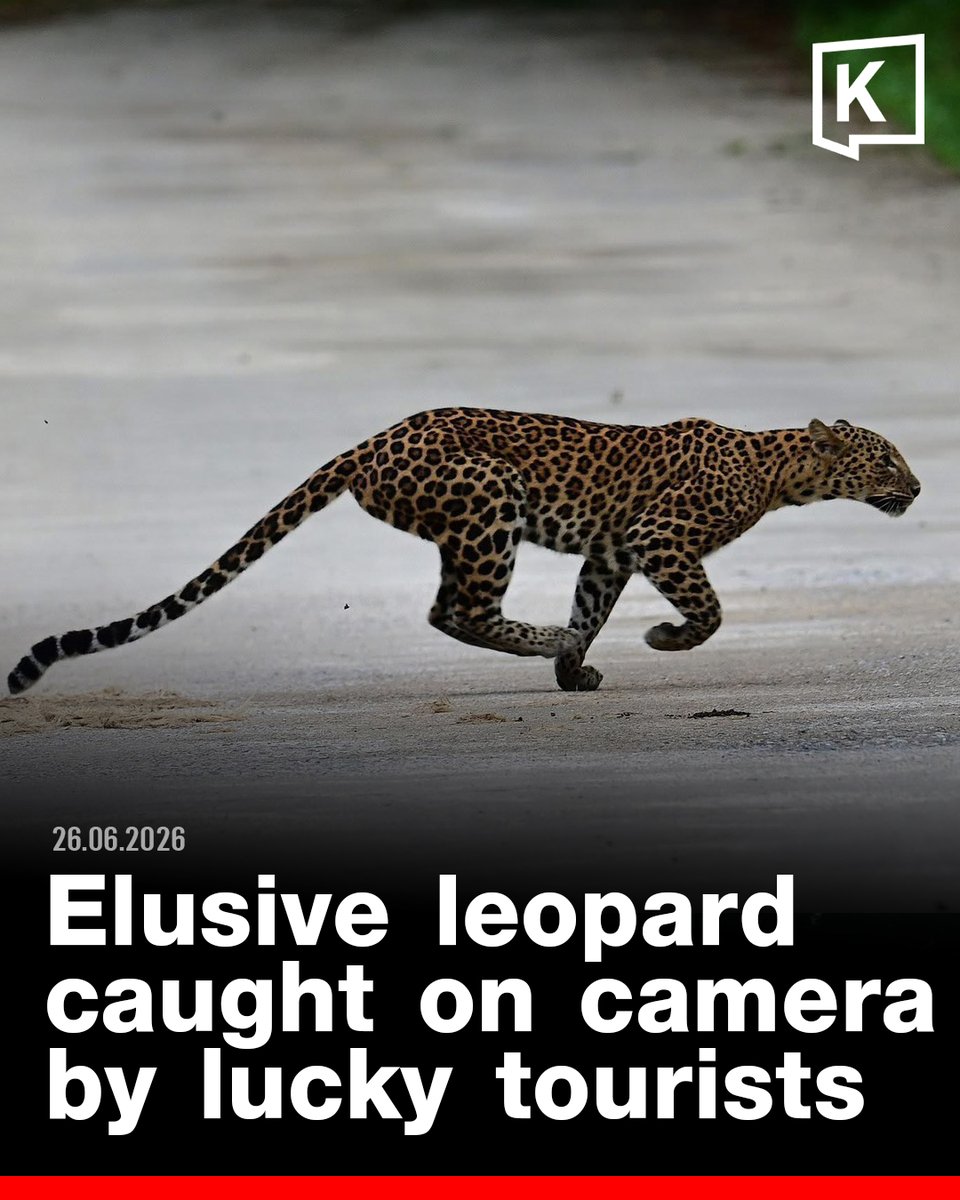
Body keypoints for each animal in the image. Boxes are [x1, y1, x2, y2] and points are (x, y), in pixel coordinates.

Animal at [7, 408, 920, 696]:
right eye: (885, 462)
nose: (916, 490)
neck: (778, 471)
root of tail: (371, 442)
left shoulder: (614, 551)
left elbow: (595, 602)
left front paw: (576, 671)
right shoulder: (659, 538)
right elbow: (710, 609)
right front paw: (661, 640)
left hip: (469, 522)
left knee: (451, 610)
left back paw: (553, 646)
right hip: (489, 501)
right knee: (462, 609)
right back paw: (543, 637)